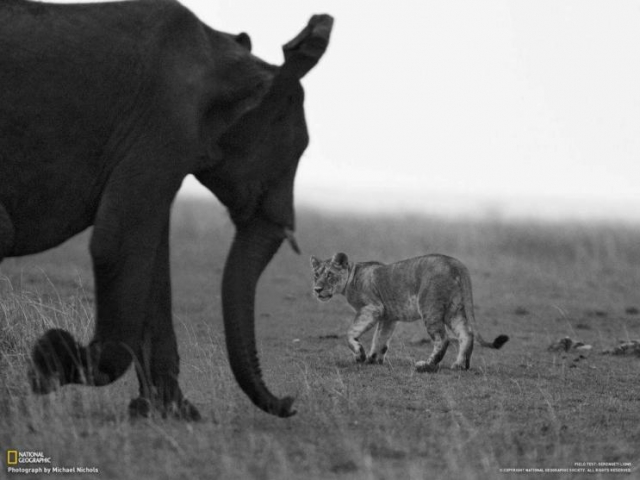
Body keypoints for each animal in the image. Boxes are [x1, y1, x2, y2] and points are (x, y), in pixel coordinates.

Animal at [1, 0, 336, 420]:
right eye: (296, 151)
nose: (290, 402)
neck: (222, 58)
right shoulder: (164, 124)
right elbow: (117, 243)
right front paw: (49, 362)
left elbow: (152, 263)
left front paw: (173, 413)